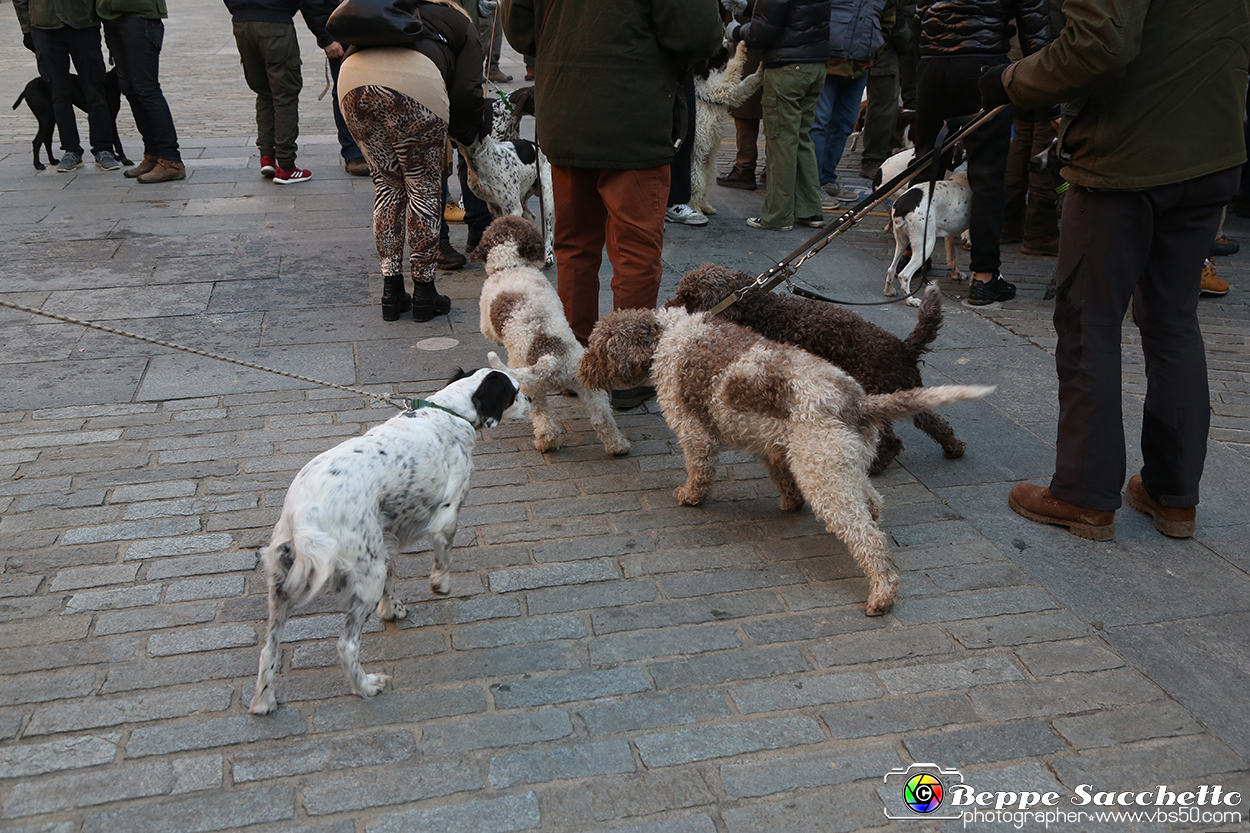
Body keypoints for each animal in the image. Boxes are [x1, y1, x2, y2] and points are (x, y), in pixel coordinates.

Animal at [251, 367, 530, 710]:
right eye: (515, 392)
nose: (532, 400)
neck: (449, 413)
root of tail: (302, 515)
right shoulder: (445, 517)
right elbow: (444, 559)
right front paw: (440, 585)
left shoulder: (385, 535)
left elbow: (392, 579)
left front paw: (392, 609)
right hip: (365, 575)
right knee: (346, 645)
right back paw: (366, 686)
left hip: (282, 585)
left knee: (269, 649)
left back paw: (263, 701)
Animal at [477, 213, 635, 457]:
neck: (511, 266)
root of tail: (549, 354)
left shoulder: (486, 319)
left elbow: (489, 332)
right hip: (588, 386)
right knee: (602, 418)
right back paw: (618, 446)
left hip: (532, 388)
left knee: (542, 417)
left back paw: (546, 442)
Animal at [577, 306, 995, 615]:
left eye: (596, 346)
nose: (580, 373)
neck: (667, 336)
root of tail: (858, 403)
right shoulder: (773, 447)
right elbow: (781, 478)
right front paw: (789, 503)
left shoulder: (694, 432)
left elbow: (699, 469)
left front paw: (690, 496)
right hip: (839, 464)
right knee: (872, 500)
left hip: (825, 478)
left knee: (868, 539)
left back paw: (881, 594)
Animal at [670, 266, 960, 472]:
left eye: (688, 296)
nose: (666, 306)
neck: (759, 311)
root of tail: (904, 347)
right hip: (904, 389)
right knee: (935, 422)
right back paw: (954, 448)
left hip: (874, 396)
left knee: (891, 440)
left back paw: (877, 464)